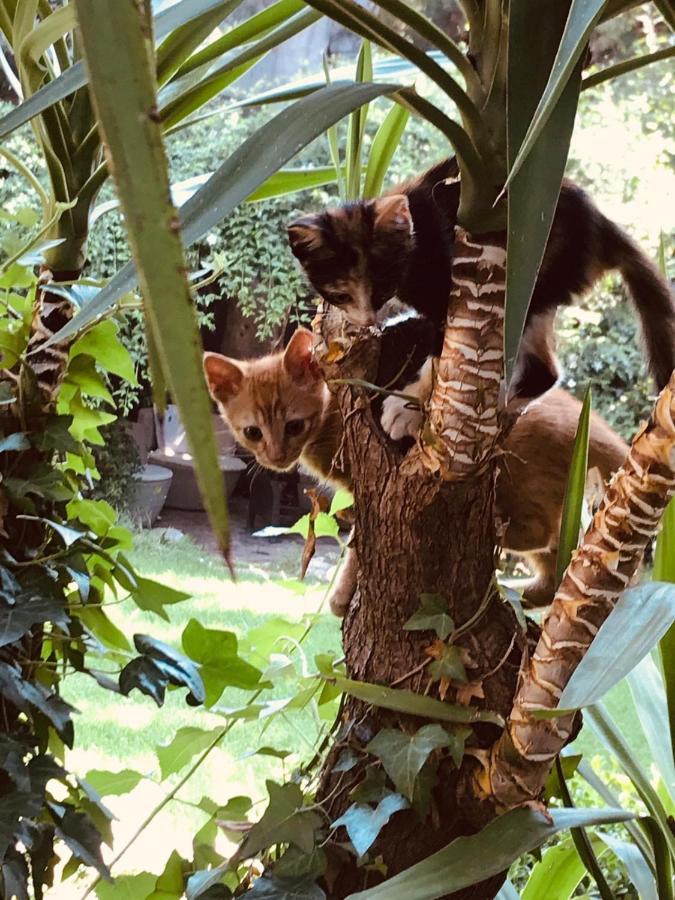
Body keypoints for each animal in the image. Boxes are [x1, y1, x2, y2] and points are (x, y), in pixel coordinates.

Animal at [205, 326, 628, 616]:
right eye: (252, 433)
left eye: (294, 425)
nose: (276, 456)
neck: (331, 418)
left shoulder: (373, 484)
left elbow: (358, 542)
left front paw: (341, 594)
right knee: (557, 568)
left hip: (520, 476)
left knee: (540, 531)